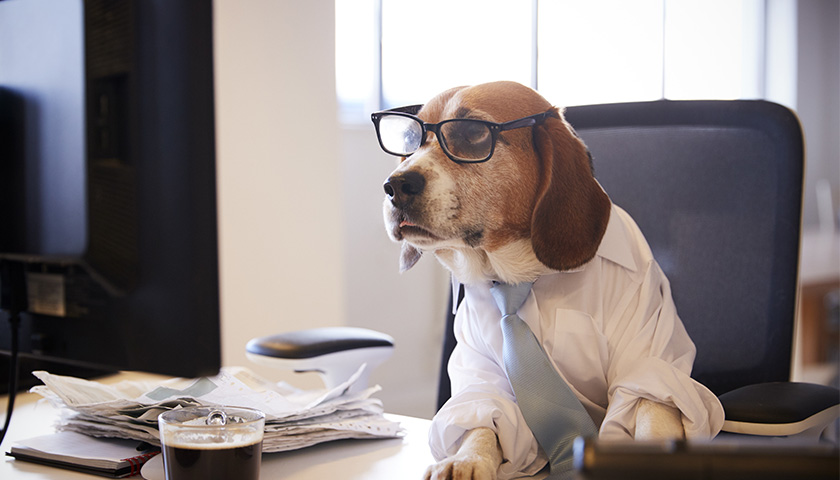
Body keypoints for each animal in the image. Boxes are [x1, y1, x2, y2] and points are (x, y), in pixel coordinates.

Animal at [378, 82, 696, 480]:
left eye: (472, 134)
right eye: (409, 139)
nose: (395, 184)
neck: (523, 275)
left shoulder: (649, 362)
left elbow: (653, 410)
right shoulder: (484, 377)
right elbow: (482, 422)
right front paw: (467, 458)